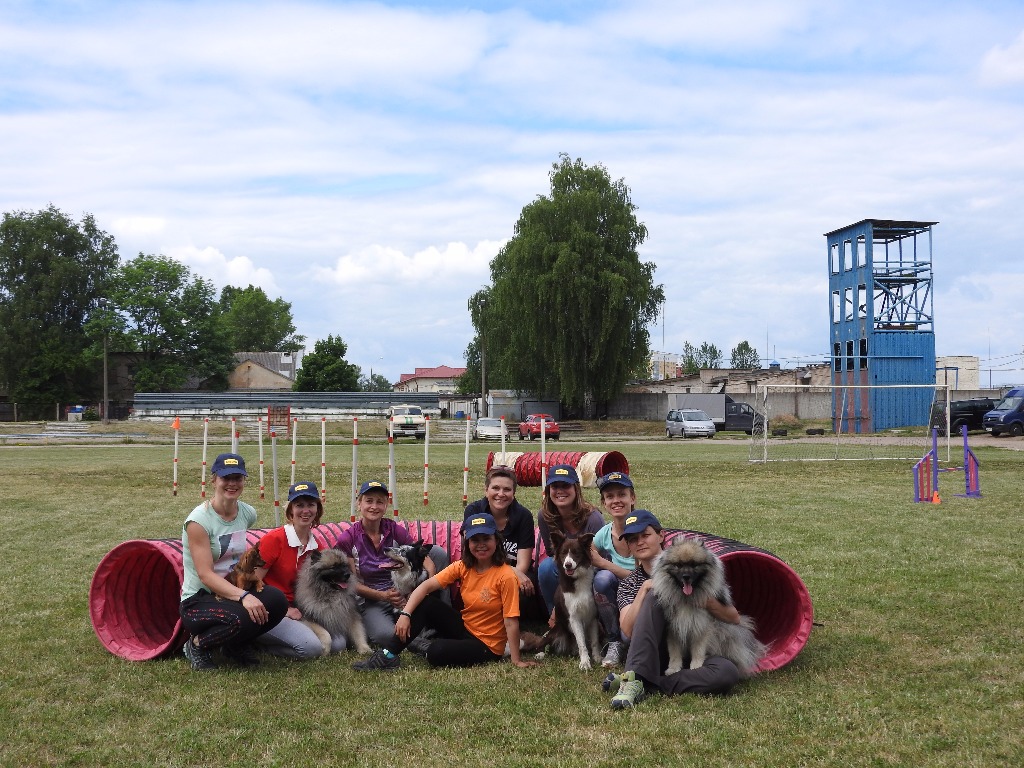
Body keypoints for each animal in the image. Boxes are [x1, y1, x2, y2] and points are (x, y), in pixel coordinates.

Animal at [544, 531, 603, 670]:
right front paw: (585, 662)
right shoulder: (574, 617)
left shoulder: (593, 616)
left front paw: (597, 657)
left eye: (576, 552)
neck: (578, 578)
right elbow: (581, 643)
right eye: (563, 553)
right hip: (557, 630)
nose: (568, 565)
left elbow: (594, 641)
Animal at [651, 537, 766, 678]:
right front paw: (673, 669)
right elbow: (674, 652)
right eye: (678, 565)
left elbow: (698, 649)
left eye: (694, 565)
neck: (687, 599)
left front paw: (696, 666)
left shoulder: (701, 626)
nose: (686, 576)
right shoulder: (673, 629)